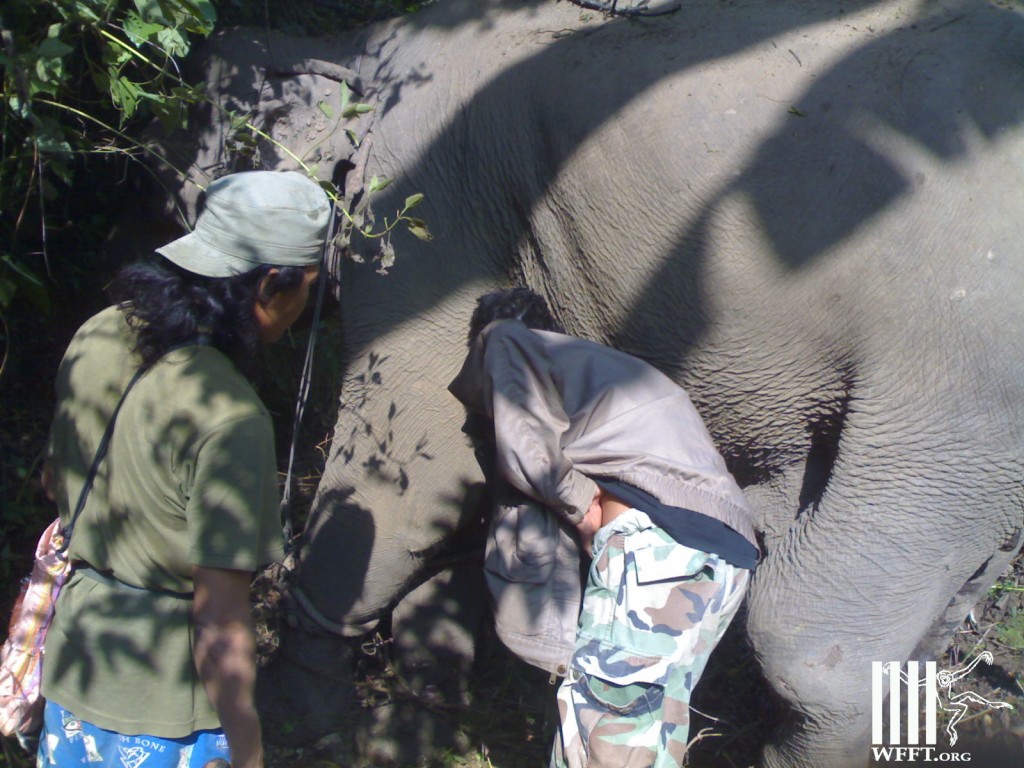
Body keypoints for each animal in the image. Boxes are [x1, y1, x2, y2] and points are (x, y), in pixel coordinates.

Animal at [154, 0, 1024, 765]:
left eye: (196, 178)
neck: (361, 44)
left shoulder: (424, 194)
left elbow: (412, 457)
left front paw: (285, 715)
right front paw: (421, 723)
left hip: (946, 393)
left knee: (807, 643)